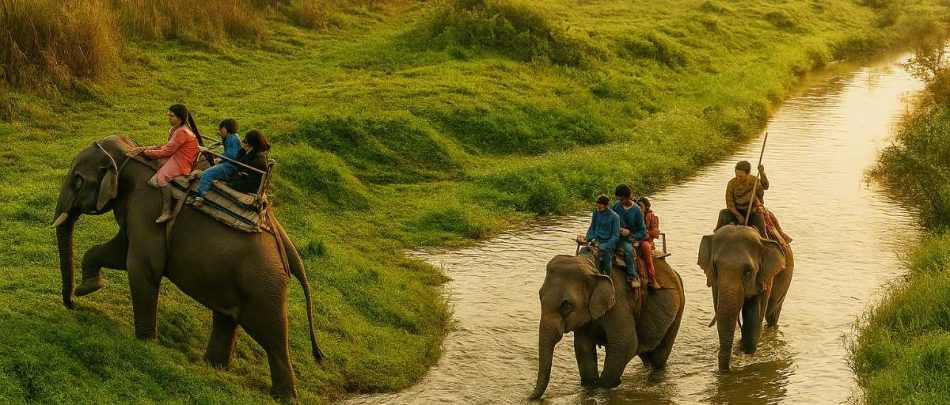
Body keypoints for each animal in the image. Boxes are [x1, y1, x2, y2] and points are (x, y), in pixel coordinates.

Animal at [50, 135, 323, 400]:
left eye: (77, 180)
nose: (72, 305)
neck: (130, 153)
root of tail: (284, 244)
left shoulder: (148, 208)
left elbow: (142, 267)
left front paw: (145, 343)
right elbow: (118, 252)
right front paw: (89, 288)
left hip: (263, 284)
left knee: (272, 337)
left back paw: (283, 397)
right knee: (226, 318)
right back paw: (213, 367)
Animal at [529, 244, 685, 400]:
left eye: (567, 305)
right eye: (540, 296)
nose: (529, 397)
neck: (592, 267)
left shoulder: (618, 303)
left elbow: (625, 345)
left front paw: (605, 387)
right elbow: (582, 347)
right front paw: (590, 387)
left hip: (680, 307)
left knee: (659, 356)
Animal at [697, 224, 793, 370]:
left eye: (748, 272)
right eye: (715, 268)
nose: (727, 368)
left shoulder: (765, 277)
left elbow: (754, 316)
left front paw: (744, 349)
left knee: (772, 314)